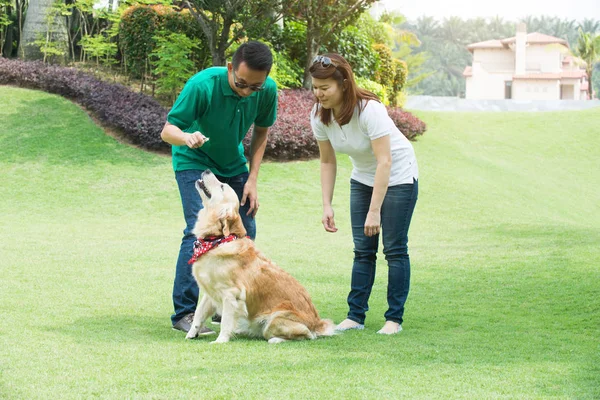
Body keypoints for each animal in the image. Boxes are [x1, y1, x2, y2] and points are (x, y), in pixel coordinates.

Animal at [185, 170, 336, 344]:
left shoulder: (231, 294)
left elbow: (226, 321)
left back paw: (276, 340)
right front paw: (191, 333)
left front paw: (220, 340)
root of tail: (317, 324)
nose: (207, 170)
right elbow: (199, 313)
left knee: (305, 335)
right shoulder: (209, 291)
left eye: (222, 186)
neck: (217, 240)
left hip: (275, 319)